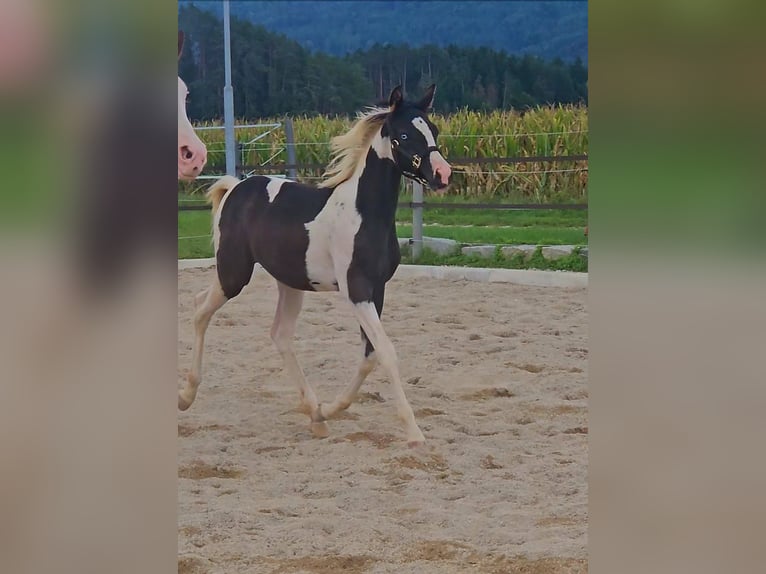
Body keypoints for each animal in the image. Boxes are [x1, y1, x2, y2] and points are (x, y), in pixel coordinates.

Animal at [179, 85, 452, 446]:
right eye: (405, 134)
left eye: (433, 129)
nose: (443, 175)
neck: (364, 213)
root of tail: (235, 187)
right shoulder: (357, 291)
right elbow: (386, 351)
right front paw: (414, 432)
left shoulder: (376, 290)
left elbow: (369, 355)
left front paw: (328, 410)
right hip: (234, 273)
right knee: (200, 311)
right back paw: (185, 396)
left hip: (288, 282)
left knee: (278, 334)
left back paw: (314, 414)